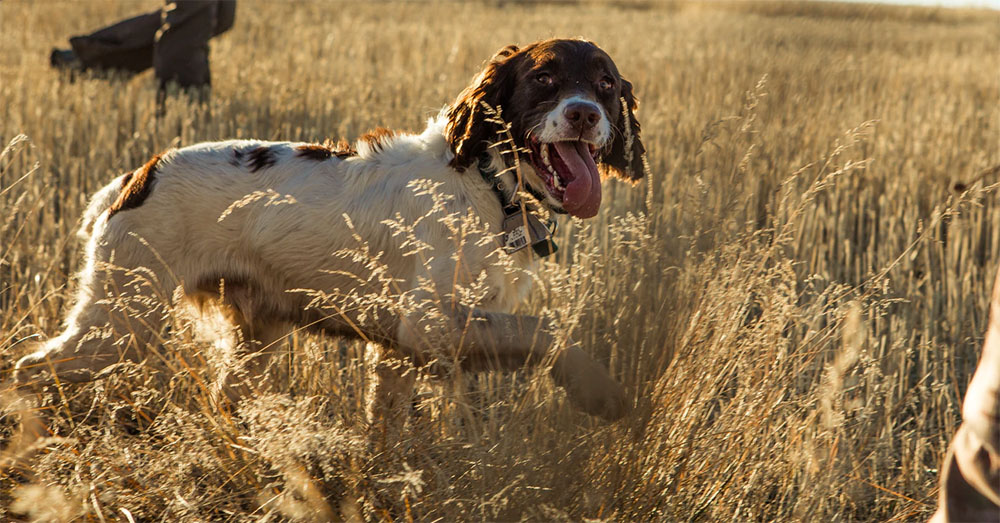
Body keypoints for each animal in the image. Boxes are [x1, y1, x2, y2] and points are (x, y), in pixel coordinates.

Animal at [13, 39, 648, 424]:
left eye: (606, 84)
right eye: (543, 78)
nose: (585, 114)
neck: (488, 186)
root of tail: (136, 176)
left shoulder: (399, 351)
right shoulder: (426, 324)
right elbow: (545, 330)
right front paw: (599, 391)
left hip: (249, 336)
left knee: (224, 396)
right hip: (119, 322)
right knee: (28, 370)